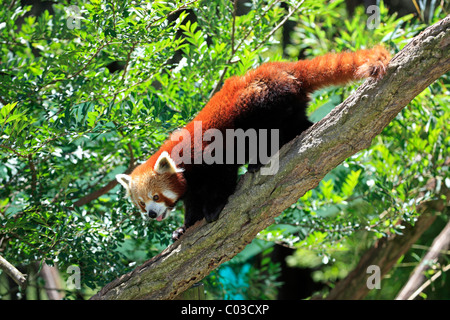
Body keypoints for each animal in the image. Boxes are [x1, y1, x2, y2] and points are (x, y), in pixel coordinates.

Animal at [116, 45, 390, 240]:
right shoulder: (191, 186)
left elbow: (222, 179)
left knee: (281, 128)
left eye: (156, 196)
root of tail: (282, 67)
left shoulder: (208, 155)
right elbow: (192, 203)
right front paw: (184, 228)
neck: (180, 158)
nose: (151, 214)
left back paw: (263, 158)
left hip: (261, 101)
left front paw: (214, 208)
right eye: (142, 203)